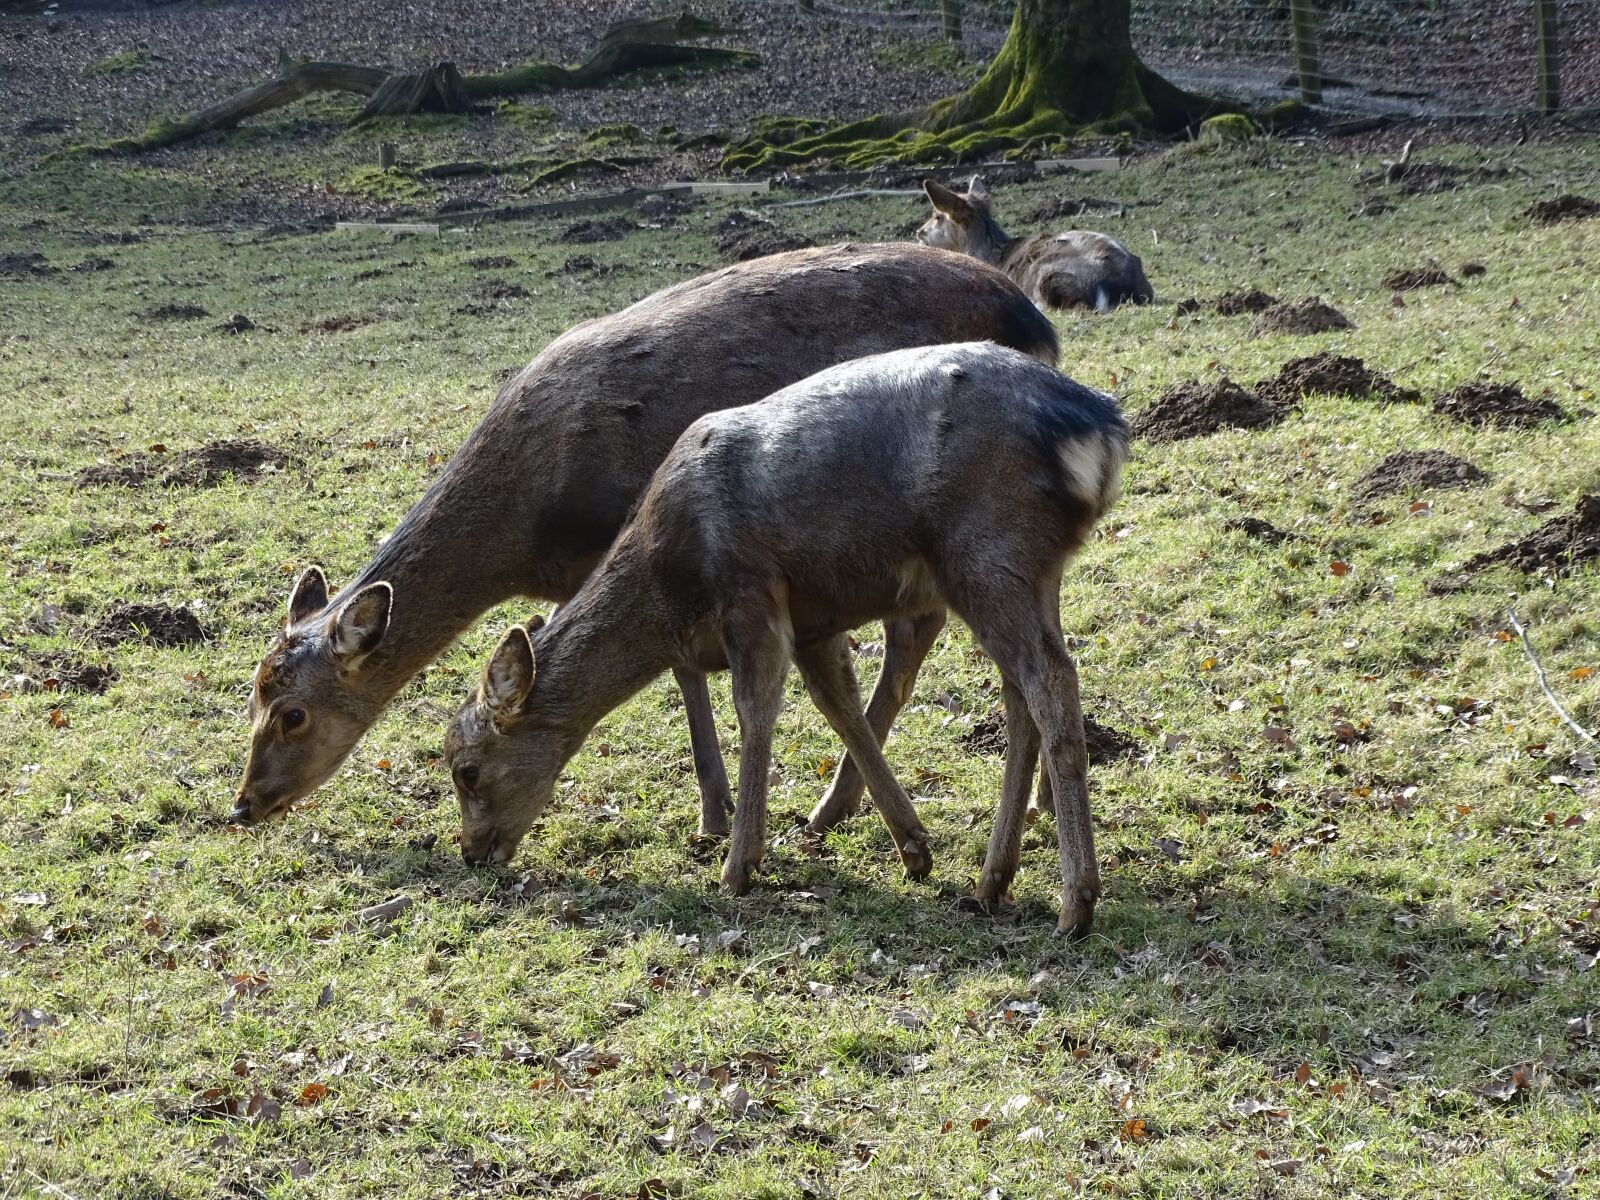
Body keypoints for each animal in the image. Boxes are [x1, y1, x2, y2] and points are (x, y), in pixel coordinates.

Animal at [232, 244, 1061, 847]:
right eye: (252, 694)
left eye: (293, 712)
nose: (244, 804)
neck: (527, 530)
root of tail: (1037, 321)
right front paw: (717, 810)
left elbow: (683, 672)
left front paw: (714, 815)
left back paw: (861, 806)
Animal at [445, 342, 1128, 937]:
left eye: (467, 770)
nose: (473, 853)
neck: (670, 586)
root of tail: (1102, 424)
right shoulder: (813, 619)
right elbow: (840, 706)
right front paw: (913, 847)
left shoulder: (753, 594)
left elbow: (757, 709)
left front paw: (738, 866)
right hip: (1030, 572)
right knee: (1022, 693)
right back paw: (991, 882)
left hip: (988, 552)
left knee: (1050, 680)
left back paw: (1075, 904)